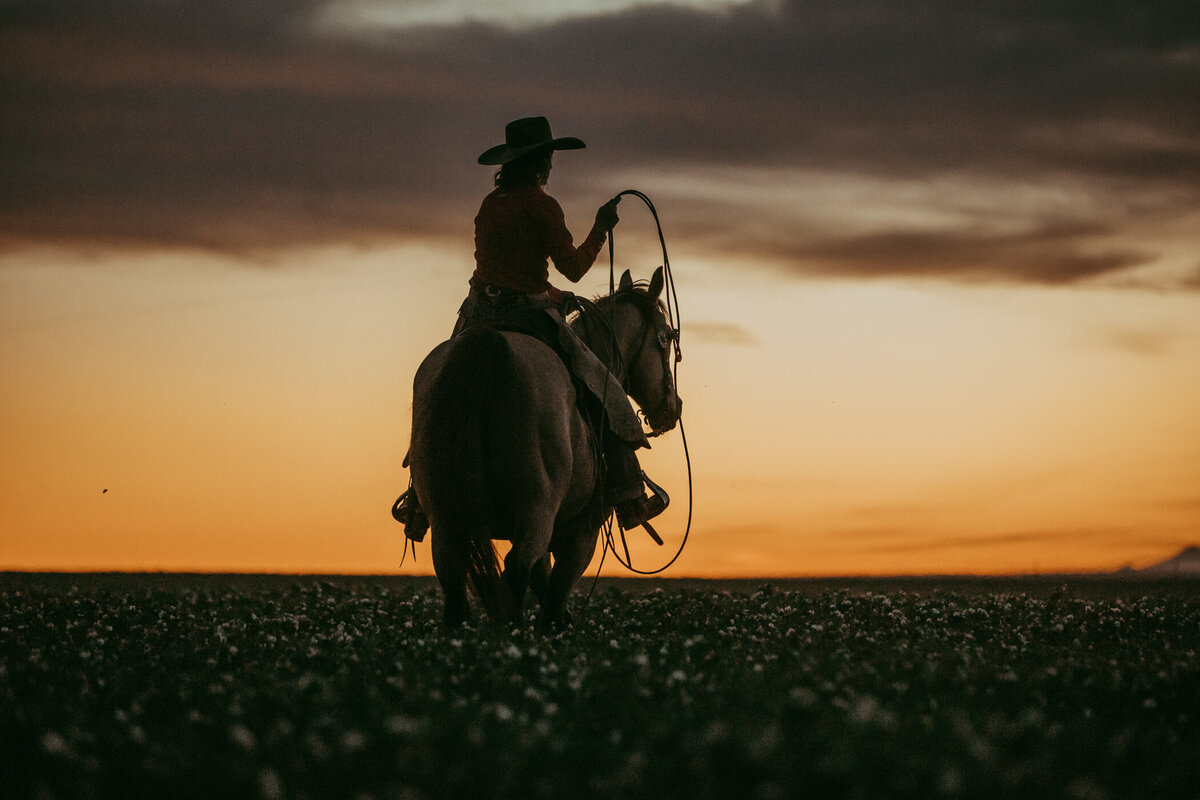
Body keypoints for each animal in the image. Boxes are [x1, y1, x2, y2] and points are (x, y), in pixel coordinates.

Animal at [408, 266, 681, 628]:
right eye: (665, 337)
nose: (673, 408)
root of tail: (489, 344)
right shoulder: (581, 533)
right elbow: (555, 593)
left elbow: (543, 580)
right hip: (536, 510)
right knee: (515, 569)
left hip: (445, 520)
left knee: (453, 575)